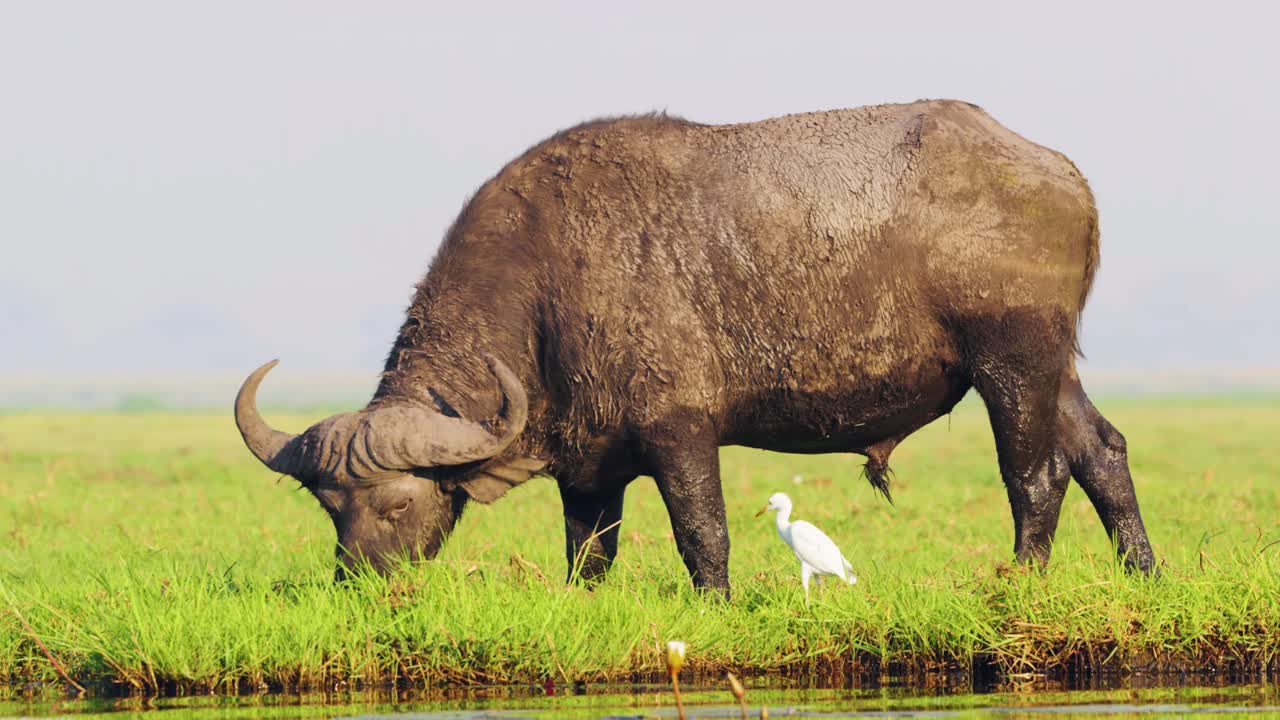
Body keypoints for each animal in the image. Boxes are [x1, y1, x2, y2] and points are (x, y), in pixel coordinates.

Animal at [232, 101, 1162, 594]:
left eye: (394, 506)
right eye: (331, 509)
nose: (359, 584)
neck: (547, 280)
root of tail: (1059, 171)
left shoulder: (681, 432)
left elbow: (702, 533)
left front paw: (715, 605)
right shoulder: (587, 464)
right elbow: (587, 552)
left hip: (1011, 363)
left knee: (1036, 474)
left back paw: (1022, 581)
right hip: (1054, 368)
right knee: (1104, 452)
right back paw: (1144, 574)